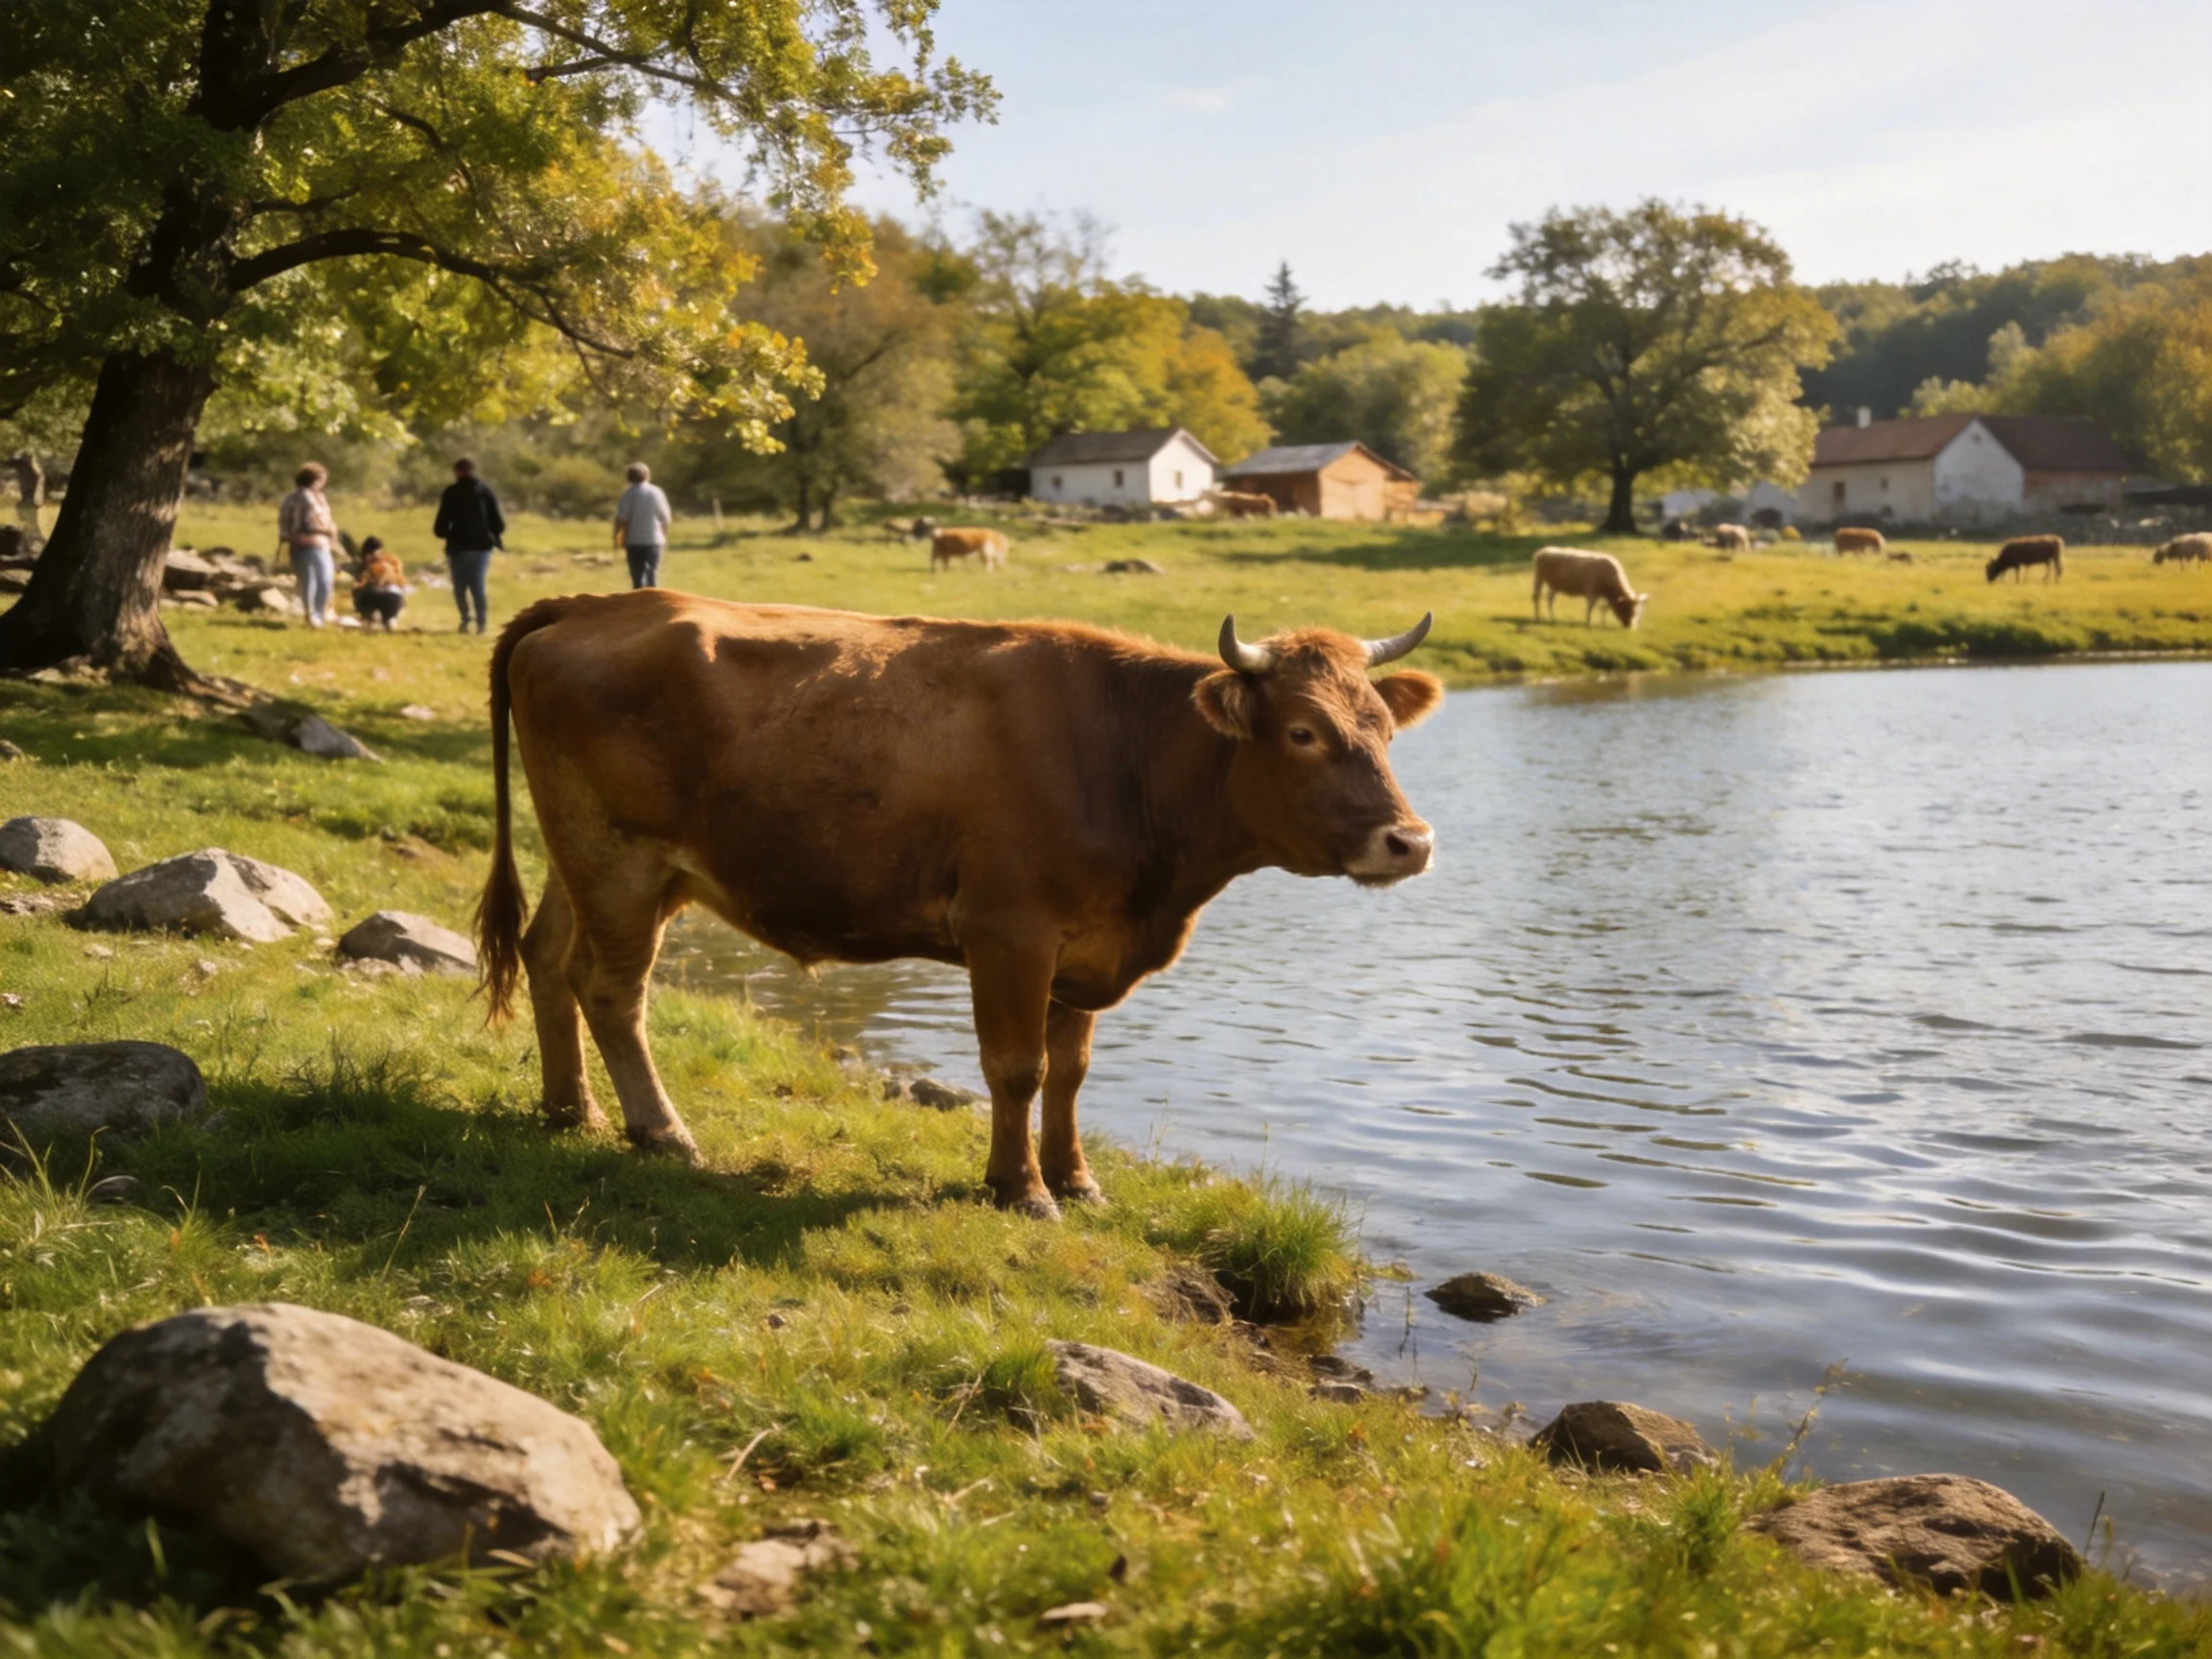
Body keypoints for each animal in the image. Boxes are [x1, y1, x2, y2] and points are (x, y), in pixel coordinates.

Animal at [478, 595, 1442, 1220]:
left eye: (1385, 731)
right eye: (1304, 733)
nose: (1412, 841)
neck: (1124, 755)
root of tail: (595, 604)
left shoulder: (1083, 947)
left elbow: (1072, 1071)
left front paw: (1076, 1179)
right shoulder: (1009, 931)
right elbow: (1016, 1067)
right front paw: (1021, 1189)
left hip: (582, 855)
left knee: (546, 956)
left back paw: (570, 1110)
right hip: (621, 858)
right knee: (612, 989)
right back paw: (661, 1131)